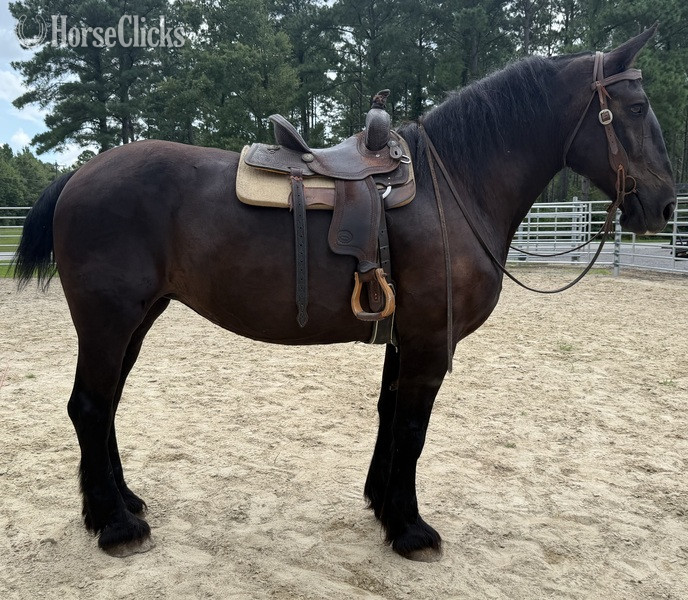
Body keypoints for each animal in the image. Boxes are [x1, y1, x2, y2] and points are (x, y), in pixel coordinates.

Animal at [14, 26, 675, 561]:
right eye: (637, 106)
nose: (665, 205)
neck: (454, 187)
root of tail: (77, 175)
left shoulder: (405, 339)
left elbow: (390, 416)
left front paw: (382, 506)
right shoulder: (431, 343)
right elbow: (412, 429)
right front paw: (410, 530)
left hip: (138, 318)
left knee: (105, 406)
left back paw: (120, 503)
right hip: (109, 320)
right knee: (90, 406)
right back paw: (114, 527)